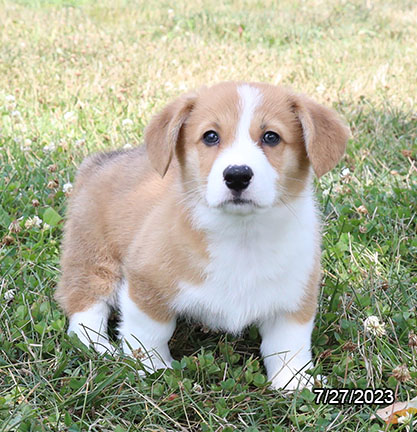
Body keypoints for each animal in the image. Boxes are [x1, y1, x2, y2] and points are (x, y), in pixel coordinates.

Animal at [55, 82, 348, 392]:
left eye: (271, 137)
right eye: (210, 136)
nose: (237, 175)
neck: (241, 234)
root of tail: (100, 161)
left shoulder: (293, 298)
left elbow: (288, 347)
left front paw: (295, 383)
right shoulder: (145, 284)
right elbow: (150, 333)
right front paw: (155, 369)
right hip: (94, 258)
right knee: (85, 308)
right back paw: (99, 347)